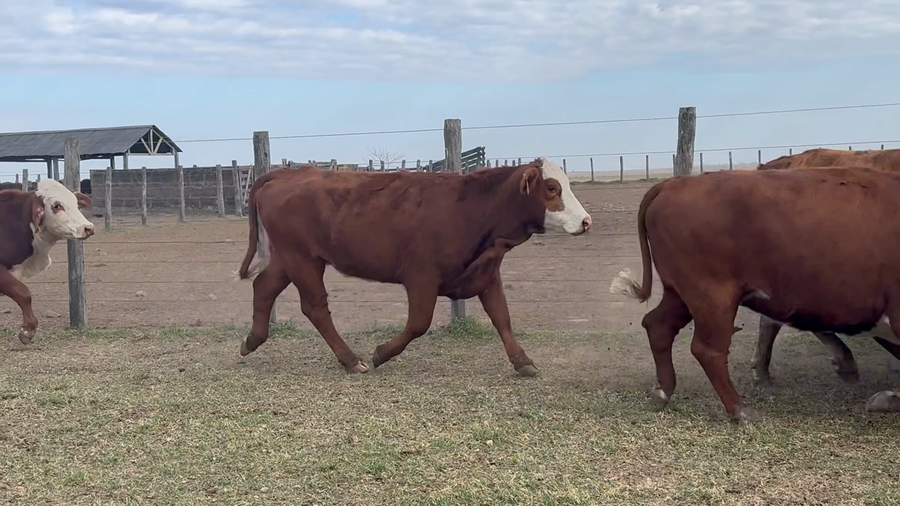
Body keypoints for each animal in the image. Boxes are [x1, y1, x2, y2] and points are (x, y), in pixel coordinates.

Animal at [237, 157, 592, 376]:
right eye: (551, 188)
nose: (586, 221)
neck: (472, 209)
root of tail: (285, 174)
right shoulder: (421, 278)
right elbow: (419, 324)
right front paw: (381, 353)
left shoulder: (487, 275)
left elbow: (502, 318)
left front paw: (522, 361)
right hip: (303, 259)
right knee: (315, 307)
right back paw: (351, 360)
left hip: (289, 259)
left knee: (263, 287)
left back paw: (252, 341)